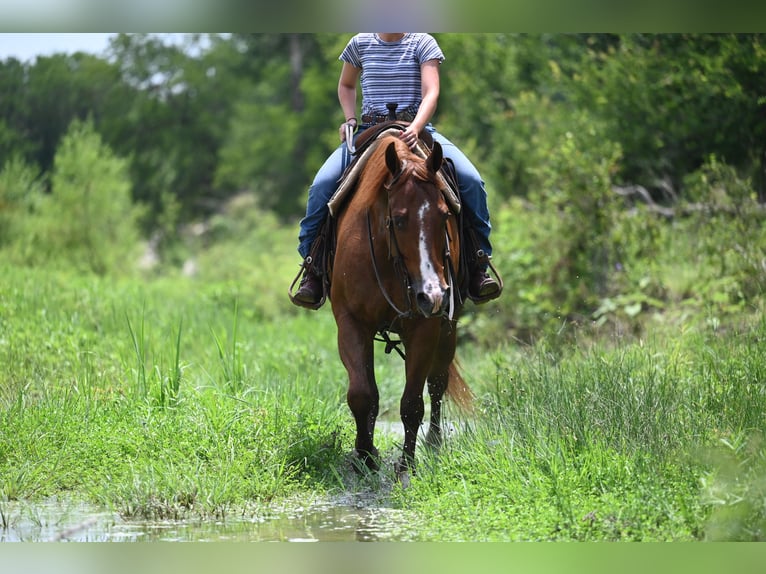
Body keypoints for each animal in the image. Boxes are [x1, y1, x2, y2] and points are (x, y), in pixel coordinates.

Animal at [328, 130, 473, 483]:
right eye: (398, 219)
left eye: (444, 214)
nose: (433, 295)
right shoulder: (351, 323)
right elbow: (362, 394)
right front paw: (365, 456)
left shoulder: (425, 327)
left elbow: (412, 403)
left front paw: (406, 464)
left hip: (448, 329)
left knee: (437, 384)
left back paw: (433, 443)